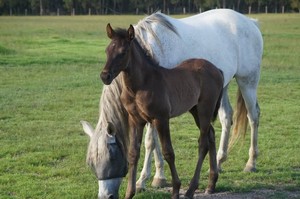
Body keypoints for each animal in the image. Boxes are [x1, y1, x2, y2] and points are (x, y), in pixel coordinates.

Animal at [81, 8, 262, 199]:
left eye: (112, 158)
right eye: (91, 164)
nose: (105, 76)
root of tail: (251, 22)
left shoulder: (159, 116)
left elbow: (151, 143)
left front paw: (146, 180)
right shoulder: (143, 117)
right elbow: (143, 148)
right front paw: (154, 178)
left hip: (247, 81)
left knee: (252, 117)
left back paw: (250, 163)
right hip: (215, 95)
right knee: (225, 119)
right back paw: (216, 169)